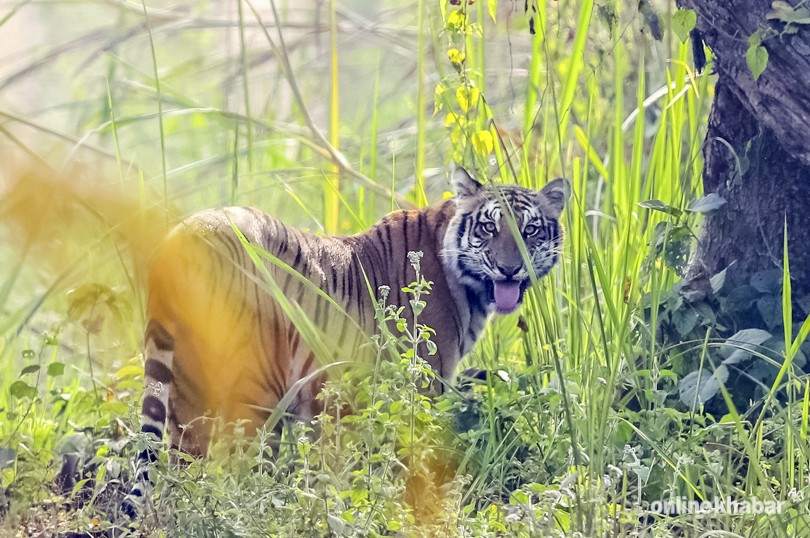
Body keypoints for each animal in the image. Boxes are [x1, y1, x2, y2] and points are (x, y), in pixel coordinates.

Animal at [124, 168, 568, 516]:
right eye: (489, 227)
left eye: (529, 230)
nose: (509, 269)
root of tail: (178, 237)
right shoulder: (420, 389)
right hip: (251, 390)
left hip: (186, 390)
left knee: (181, 473)